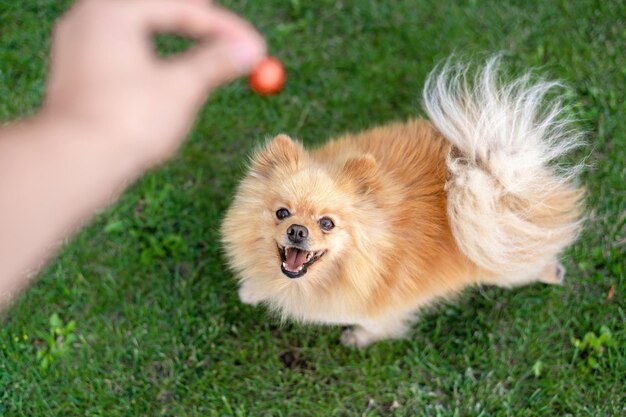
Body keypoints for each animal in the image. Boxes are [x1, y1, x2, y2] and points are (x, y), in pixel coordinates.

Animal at [222, 57, 584, 346]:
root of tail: (496, 176)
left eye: (327, 223)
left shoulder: (378, 306)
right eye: (282, 213)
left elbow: (375, 324)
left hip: (501, 260)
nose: (297, 230)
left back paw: (552, 271)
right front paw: (252, 290)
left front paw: (357, 338)